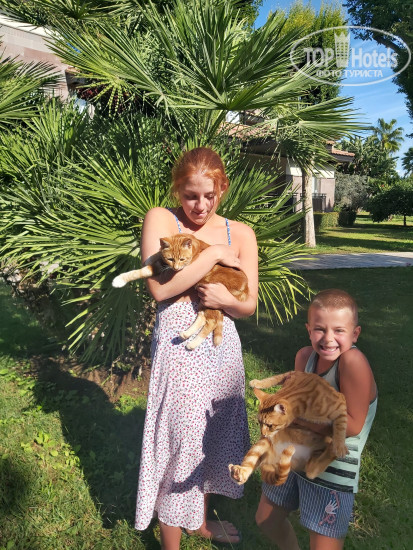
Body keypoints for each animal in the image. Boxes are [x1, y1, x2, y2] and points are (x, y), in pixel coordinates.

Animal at [112, 233, 249, 350]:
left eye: (182, 259)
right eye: (171, 259)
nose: (176, 268)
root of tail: (246, 289)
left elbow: (140, 272)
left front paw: (119, 280)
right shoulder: (163, 264)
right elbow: (156, 256)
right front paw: (150, 258)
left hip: (213, 298)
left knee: (211, 322)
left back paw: (192, 343)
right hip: (204, 299)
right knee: (202, 317)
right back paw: (186, 334)